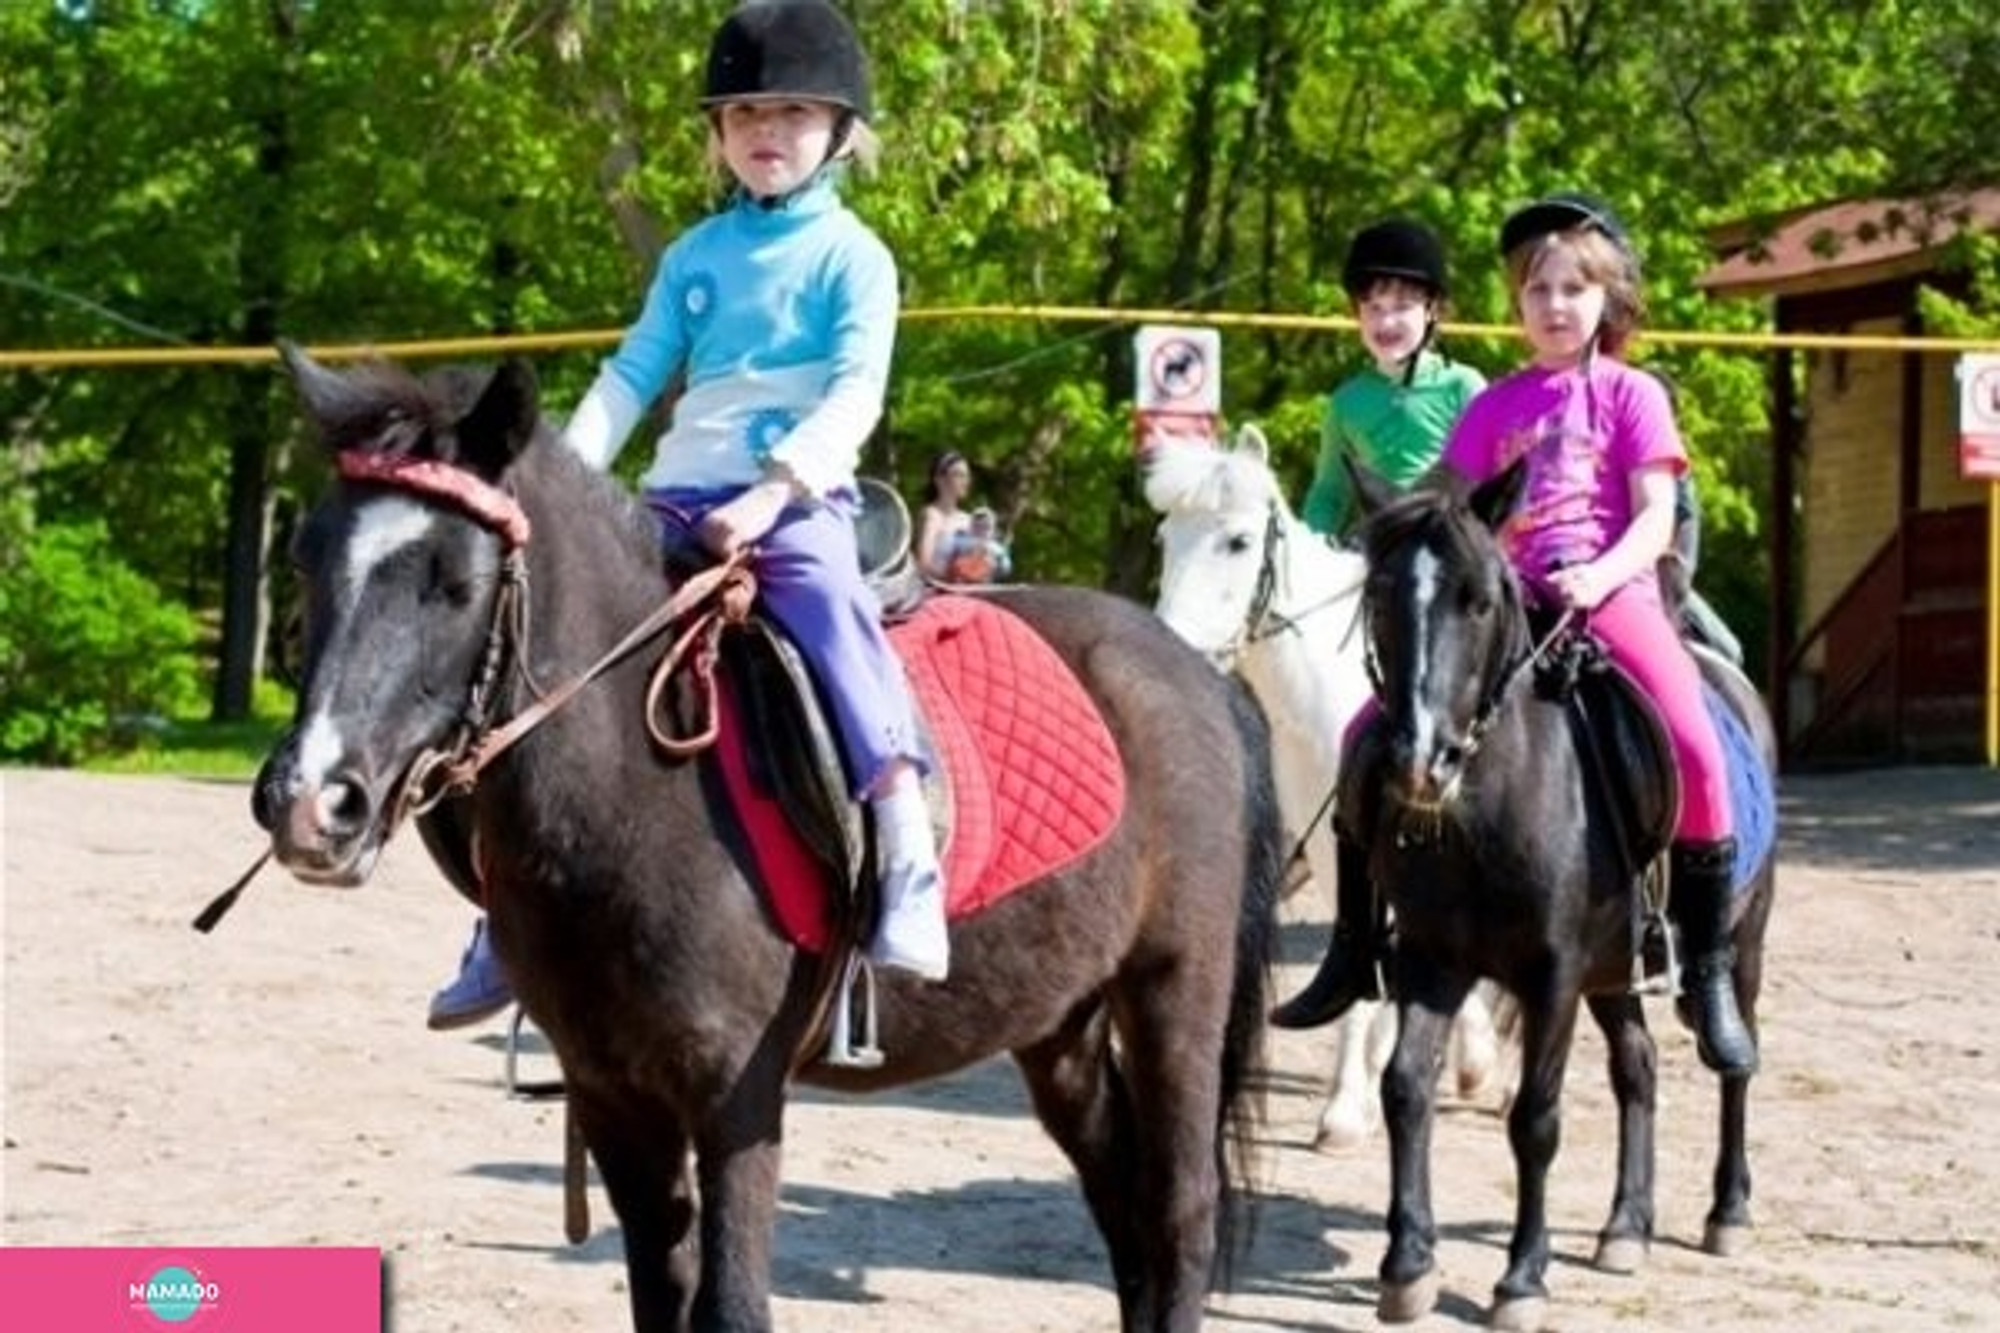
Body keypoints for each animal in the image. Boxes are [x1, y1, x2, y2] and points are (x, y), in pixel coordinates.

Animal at [250, 350, 1280, 1328]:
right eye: (306, 558)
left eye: (453, 582)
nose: (309, 800)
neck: (636, 790)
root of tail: (1195, 670)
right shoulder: (610, 1093)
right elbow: (660, 1293)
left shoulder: (735, 1094)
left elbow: (731, 1305)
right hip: (1060, 1021)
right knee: (1121, 1202)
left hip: (1174, 987)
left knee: (1181, 1207)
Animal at [1344, 460, 1784, 1328]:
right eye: (1379, 594)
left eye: (1479, 599)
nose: (1420, 761)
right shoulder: (1431, 958)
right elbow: (1405, 1087)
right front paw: (1408, 1262)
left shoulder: (1552, 973)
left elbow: (1535, 1119)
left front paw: (1521, 1277)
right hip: (1612, 968)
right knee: (1638, 1067)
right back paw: (1626, 1225)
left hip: (1740, 940)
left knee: (1737, 1058)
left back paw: (1728, 1208)